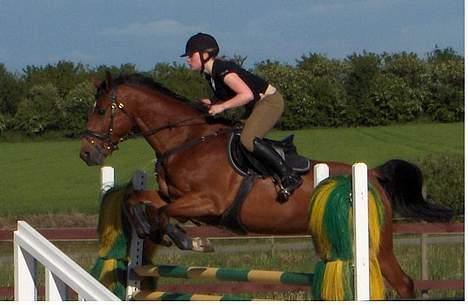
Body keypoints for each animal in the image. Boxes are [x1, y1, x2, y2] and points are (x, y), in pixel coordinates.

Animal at [80, 72, 454, 298]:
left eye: (100, 110)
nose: (87, 153)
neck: (185, 141)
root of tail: (372, 175)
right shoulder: (176, 197)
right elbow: (139, 200)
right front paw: (149, 231)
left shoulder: (207, 203)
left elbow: (164, 212)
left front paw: (190, 241)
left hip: (378, 243)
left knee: (404, 283)